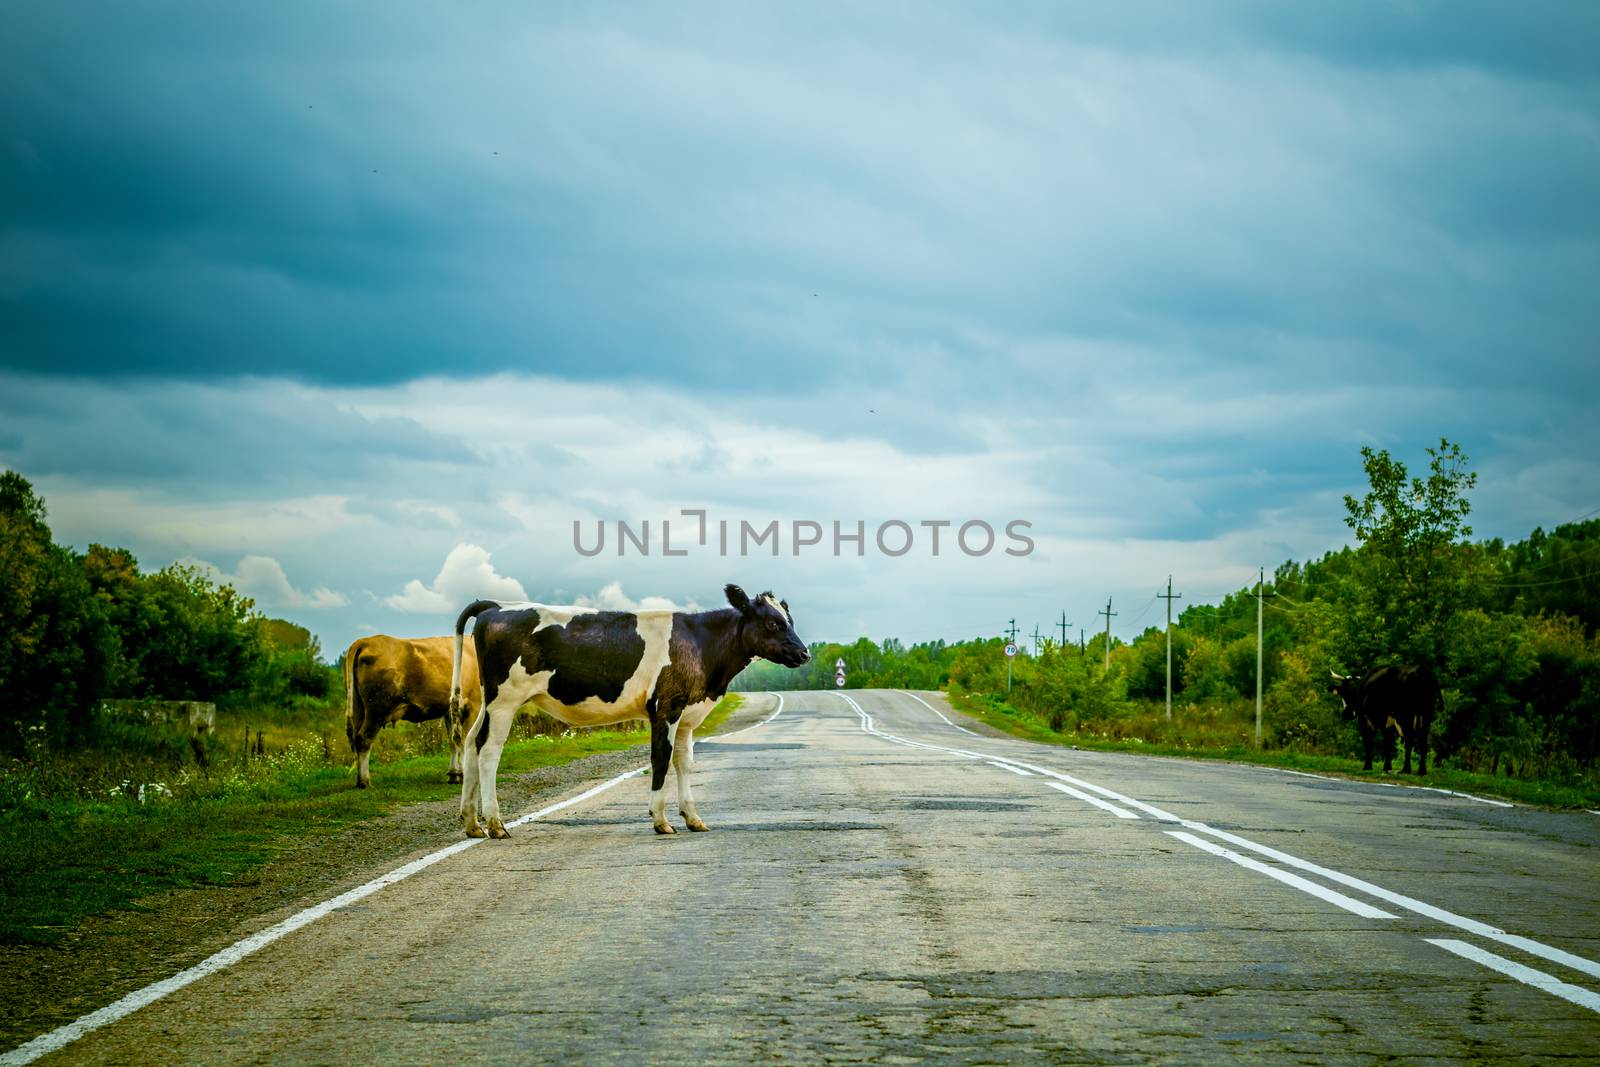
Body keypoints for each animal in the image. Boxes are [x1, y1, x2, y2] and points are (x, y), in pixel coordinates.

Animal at [344, 639, 480, 790]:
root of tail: (365, 641)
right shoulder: (474, 704)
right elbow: (467, 740)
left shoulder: (450, 711)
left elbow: (453, 742)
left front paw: (455, 774)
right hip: (377, 711)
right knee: (364, 739)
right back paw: (364, 781)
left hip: (358, 708)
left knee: (356, 738)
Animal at [451, 588, 806, 838]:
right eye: (773, 622)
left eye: (790, 621)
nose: (804, 653)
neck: (701, 643)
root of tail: (497, 606)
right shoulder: (666, 707)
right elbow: (660, 760)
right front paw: (660, 820)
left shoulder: (687, 715)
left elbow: (684, 763)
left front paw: (693, 818)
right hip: (505, 700)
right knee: (489, 751)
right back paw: (495, 823)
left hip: (488, 700)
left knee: (471, 743)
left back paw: (472, 823)